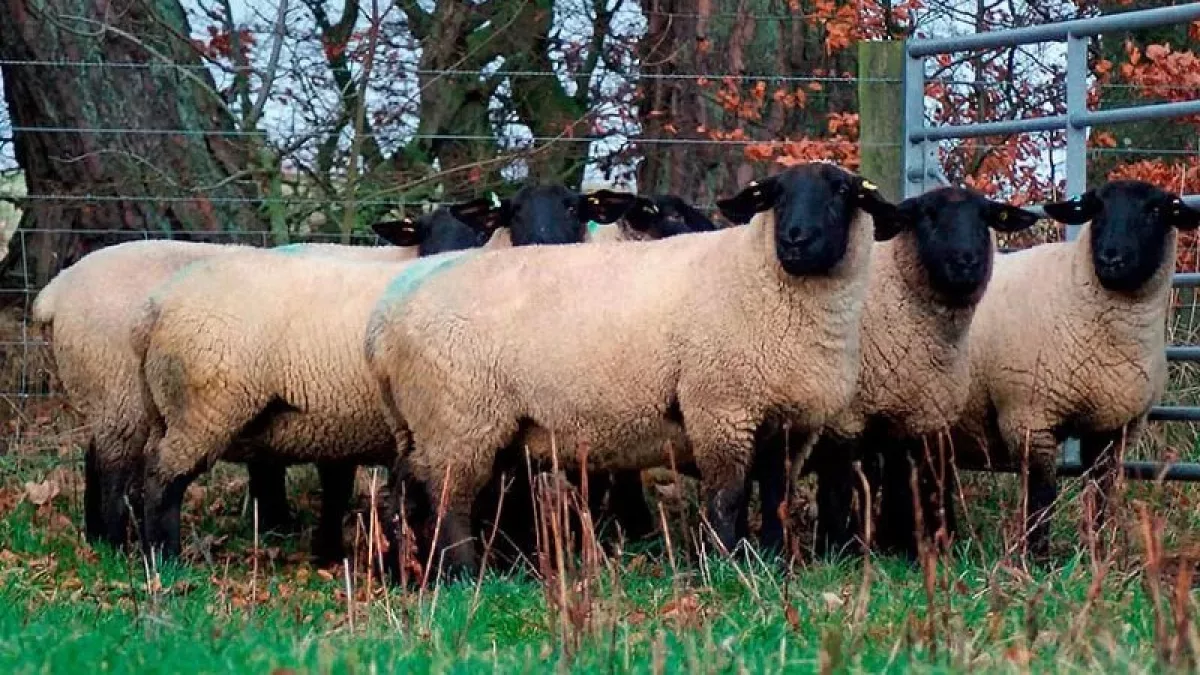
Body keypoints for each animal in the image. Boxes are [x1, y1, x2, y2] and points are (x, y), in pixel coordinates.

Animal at [31, 203, 506, 550]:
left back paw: (100, 536)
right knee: (119, 467)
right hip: (127, 393)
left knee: (96, 458)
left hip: (113, 396)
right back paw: (125, 545)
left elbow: (332, 484)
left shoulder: (340, 417)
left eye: (476, 235)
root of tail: (55, 290)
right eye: (428, 235)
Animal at [133, 189, 640, 561]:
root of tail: (157, 306)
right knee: (166, 476)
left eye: (573, 207)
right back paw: (167, 556)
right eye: (510, 213)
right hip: (210, 401)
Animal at [364, 161, 902, 579]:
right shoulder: (720, 409)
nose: (795, 239)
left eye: (842, 193)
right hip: (459, 419)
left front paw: (773, 561)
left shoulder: (789, 422)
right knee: (449, 503)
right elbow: (727, 496)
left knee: (406, 494)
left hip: (431, 425)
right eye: (776, 195)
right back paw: (464, 576)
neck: (762, 280)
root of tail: (383, 324)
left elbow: (776, 498)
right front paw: (726, 564)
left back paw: (417, 571)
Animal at [744, 186, 1040, 558]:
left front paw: (906, 547)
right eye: (927, 214)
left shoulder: (919, 412)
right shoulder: (848, 418)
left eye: (985, 216)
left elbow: (909, 481)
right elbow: (841, 484)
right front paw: (838, 549)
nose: (966, 261)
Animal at [876, 180, 1199, 561]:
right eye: (1097, 208)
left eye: (1155, 210)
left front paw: (1097, 554)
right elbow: (1042, 495)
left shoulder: (1115, 428)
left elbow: (1101, 494)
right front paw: (1037, 558)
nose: (1111, 258)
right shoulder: (1029, 416)